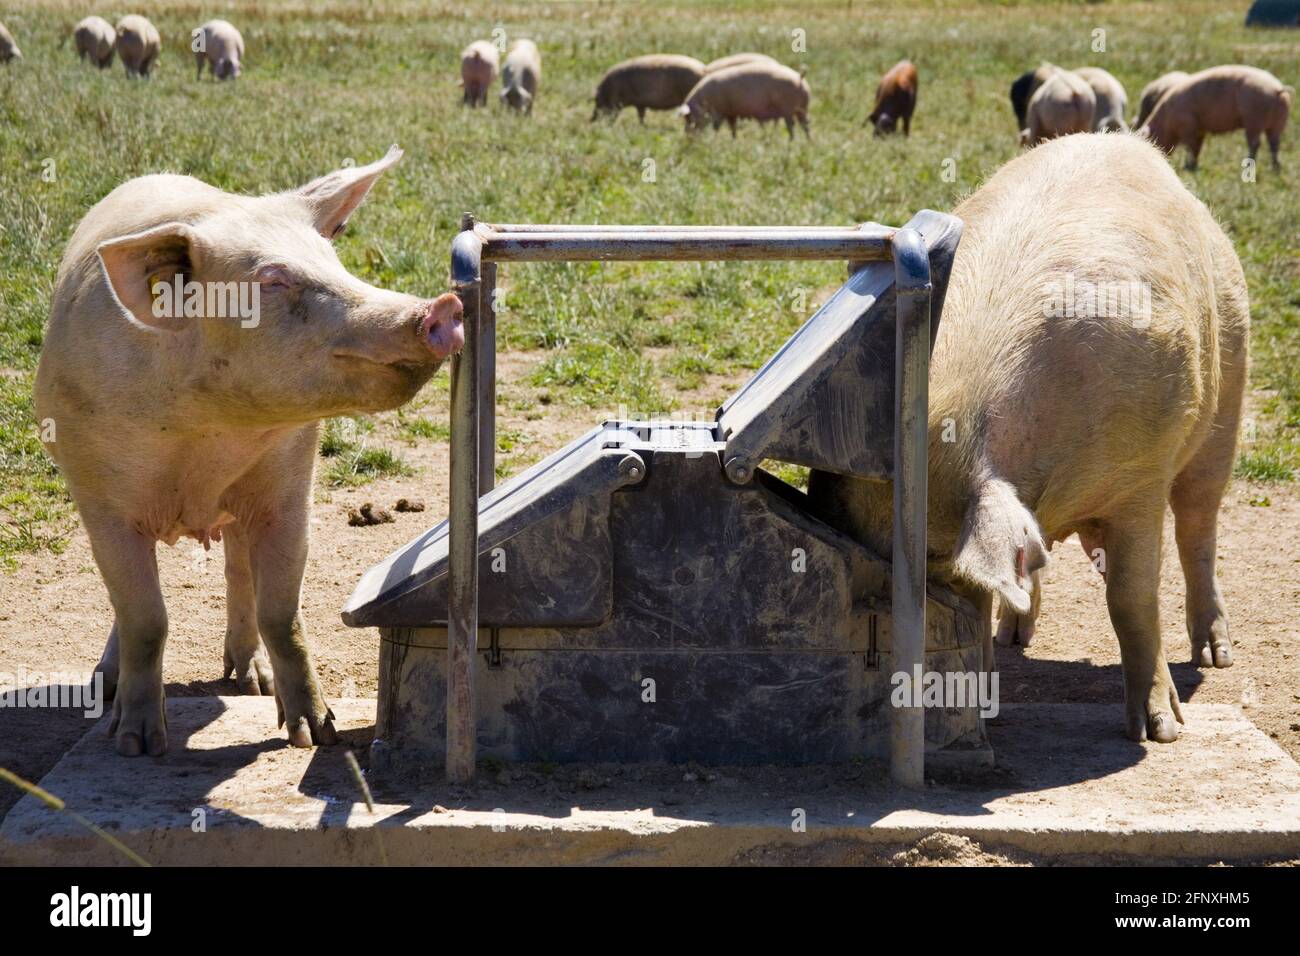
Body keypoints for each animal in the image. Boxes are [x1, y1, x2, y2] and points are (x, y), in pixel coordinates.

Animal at [34, 145, 467, 754]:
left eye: (334, 261)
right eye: (272, 279)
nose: (441, 307)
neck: (207, 438)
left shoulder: (289, 489)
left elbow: (282, 613)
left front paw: (316, 735)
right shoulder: (101, 497)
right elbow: (145, 617)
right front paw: (137, 745)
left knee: (238, 573)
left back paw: (251, 682)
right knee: (128, 603)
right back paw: (107, 686)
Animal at [676, 60, 806, 137]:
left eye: (689, 118)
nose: (688, 137)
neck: (704, 100)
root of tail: (799, 78)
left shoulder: (719, 112)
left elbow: (716, 128)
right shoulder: (730, 113)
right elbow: (732, 128)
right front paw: (733, 140)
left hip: (787, 108)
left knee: (792, 126)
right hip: (801, 109)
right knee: (805, 125)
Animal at [811, 132, 1248, 749]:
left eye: (933, 556)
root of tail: (1129, 143)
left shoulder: (1140, 477)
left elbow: (1131, 596)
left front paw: (1158, 733)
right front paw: (985, 701)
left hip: (1228, 385)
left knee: (1198, 525)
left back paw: (1214, 656)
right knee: (1033, 563)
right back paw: (1015, 634)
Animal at [1138, 64, 1289, 170]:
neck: (1166, 120)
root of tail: (1277, 89)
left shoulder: (1188, 126)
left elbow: (1190, 147)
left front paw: (1188, 166)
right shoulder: (1199, 130)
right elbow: (1197, 148)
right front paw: (1192, 166)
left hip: (1254, 118)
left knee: (1255, 143)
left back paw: (1249, 164)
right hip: (1278, 122)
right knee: (1274, 143)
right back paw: (1275, 168)